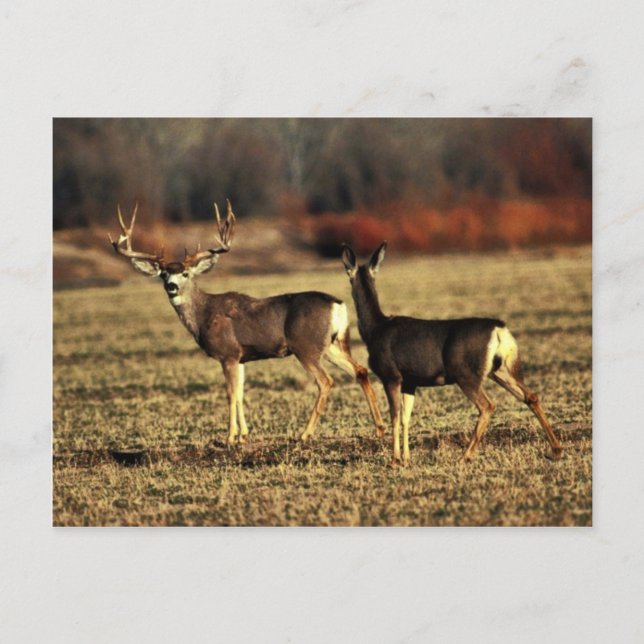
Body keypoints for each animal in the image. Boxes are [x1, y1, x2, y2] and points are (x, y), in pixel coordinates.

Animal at [109, 201, 385, 446]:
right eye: (164, 274)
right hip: (333, 344)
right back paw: (379, 428)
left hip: (306, 346)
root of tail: (338, 305)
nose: (172, 287)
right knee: (360, 370)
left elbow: (231, 393)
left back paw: (305, 434)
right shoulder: (241, 357)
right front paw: (244, 435)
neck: (203, 315)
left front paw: (229, 437)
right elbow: (241, 393)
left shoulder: (228, 353)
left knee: (326, 381)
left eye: (185, 273)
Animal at [341, 241, 563, 466]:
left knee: (487, 405)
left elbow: (395, 417)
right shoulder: (411, 381)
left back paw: (465, 456)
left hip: (466, 372)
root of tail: (500, 329)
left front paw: (395, 460)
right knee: (530, 396)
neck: (375, 329)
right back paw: (556, 449)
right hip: (501, 369)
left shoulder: (391, 375)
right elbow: (406, 418)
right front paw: (407, 458)